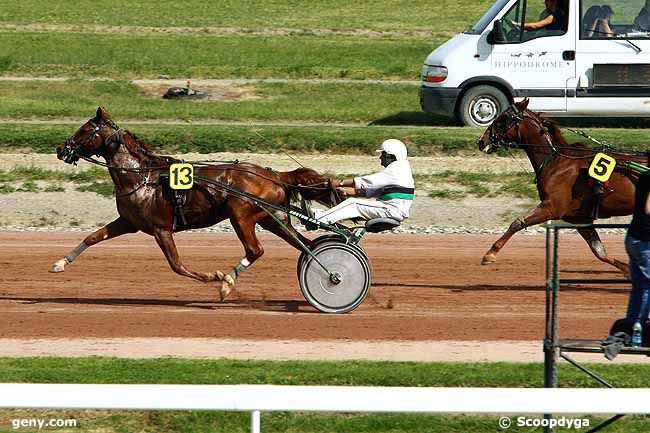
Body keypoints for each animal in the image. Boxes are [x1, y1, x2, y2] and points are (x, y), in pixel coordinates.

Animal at [53, 107, 336, 300]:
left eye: (85, 130)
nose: (60, 149)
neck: (142, 177)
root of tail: (275, 175)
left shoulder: (161, 229)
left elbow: (177, 265)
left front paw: (215, 276)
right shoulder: (128, 222)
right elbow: (92, 237)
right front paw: (60, 263)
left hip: (240, 214)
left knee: (256, 250)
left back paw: (228, 282)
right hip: (272, 219)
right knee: (306, 245)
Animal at [474, 98, 644, 274]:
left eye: (502, 119)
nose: (481, 141)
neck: (556, 161)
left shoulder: (552, 207)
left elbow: (518, 222)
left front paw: (490, 253)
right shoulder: (579, 219)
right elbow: (599, 252)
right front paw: (627, 270)